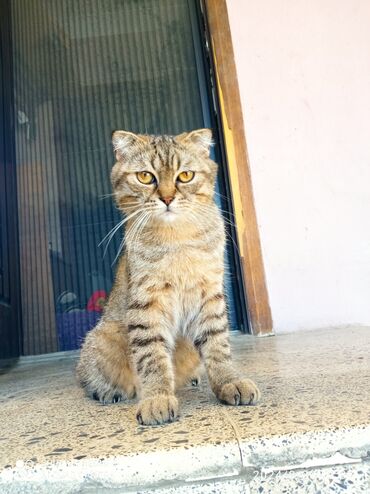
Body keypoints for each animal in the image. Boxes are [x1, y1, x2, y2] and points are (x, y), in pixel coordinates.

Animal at [76, 129, 260, 426]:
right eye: (145, 176)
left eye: (185, 175)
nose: (167, 198)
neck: (178, 238)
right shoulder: (147, 304)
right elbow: (152, 358)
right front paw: (157, 398)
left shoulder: (210, 295)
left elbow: (218, 346)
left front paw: (229, 381)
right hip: (101, 339)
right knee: (87, 377)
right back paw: (108, 391)